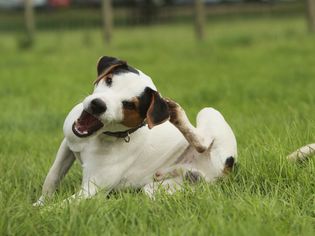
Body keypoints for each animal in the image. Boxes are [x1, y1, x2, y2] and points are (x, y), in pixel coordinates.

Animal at [33, 55, 238, 206]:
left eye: (130, 105)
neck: (98, 138)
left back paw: (177, 114)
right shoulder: (68, 144)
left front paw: (39, 212)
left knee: (202, 143)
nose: (98, 105)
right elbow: (52, 177)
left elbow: (59, 207)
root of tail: (227, 171)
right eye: (109, 80)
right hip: (160, 188)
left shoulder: (91, 191)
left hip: (210, 113)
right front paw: (40, 202)